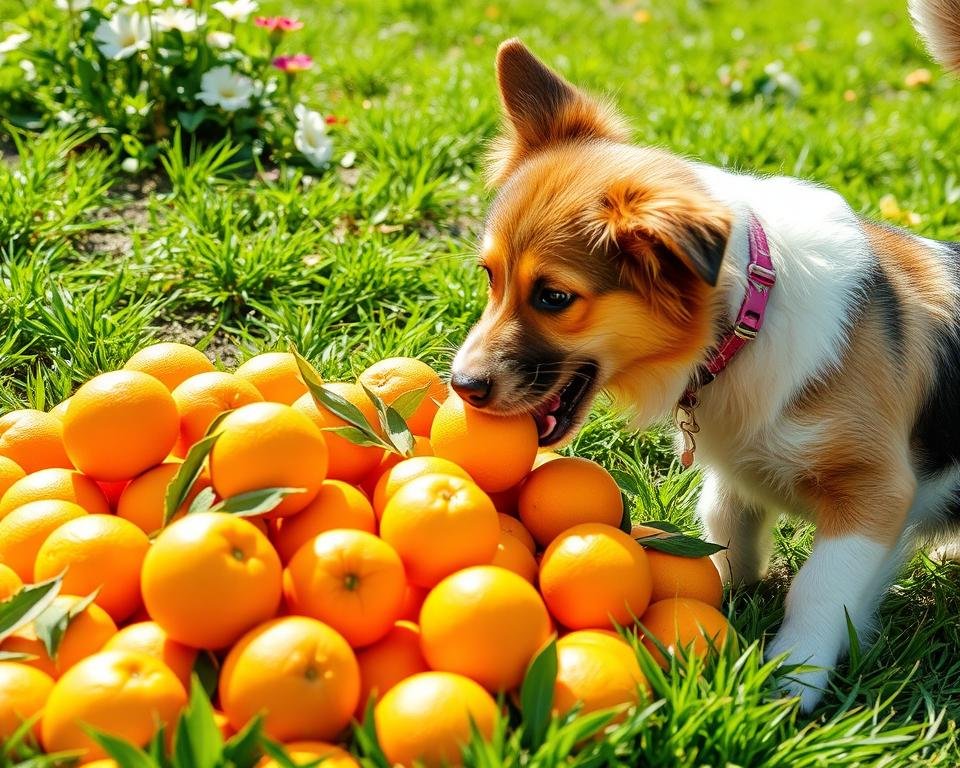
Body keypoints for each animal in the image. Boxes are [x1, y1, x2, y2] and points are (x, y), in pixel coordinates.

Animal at [450, 0, 960, 712]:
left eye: (554, 296)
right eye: (489, 277)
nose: (460, 385)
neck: (747, 322)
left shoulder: (875, 488)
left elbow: (820, 586)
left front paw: (793, 679)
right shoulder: (736, 473)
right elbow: (724, 527)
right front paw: (727, 589)